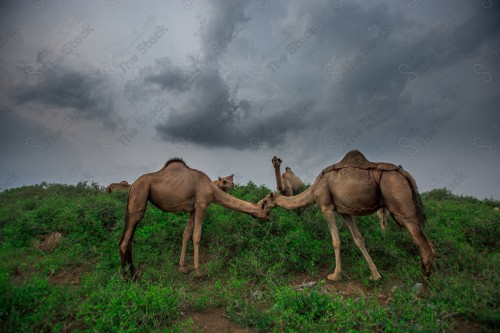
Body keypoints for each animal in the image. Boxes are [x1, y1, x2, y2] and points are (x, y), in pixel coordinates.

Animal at [118, 158, 272, 278]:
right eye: (266, 210)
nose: (270, 218)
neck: (212, 189)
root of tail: (131, 187)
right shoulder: (201, 205)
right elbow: (196, 236)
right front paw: (198, 271)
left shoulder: (192, 209)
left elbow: (186, 234)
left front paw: (183, 267)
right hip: (139, 199)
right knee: (125, 240)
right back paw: (127, 277)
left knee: (128, 239)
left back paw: (134, 273)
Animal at [260, 150, 436, 282]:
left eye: (264, 201)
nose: (259, 210)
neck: (314, 189)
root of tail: (406, 175)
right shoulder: (345, 212)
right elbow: (359, 239)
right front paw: (375, 275)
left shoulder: (326, 207)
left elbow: (336, 241)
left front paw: (334, 275)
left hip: (398, 197)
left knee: (424, 245)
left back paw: (421, 288)